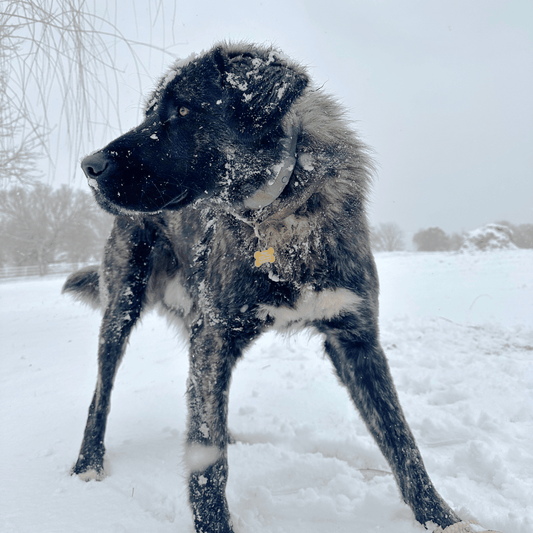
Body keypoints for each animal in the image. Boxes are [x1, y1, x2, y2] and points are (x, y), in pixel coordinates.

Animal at [62, 42, 486, 532]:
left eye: (183, 110)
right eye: (151, 113)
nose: (89, 165)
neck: (282, 213)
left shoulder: (356, 338)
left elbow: (401, 439)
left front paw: (440, 517)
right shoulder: (213, 335)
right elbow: (208, 458)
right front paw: (213, 524)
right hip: (122, 309)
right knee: (101, 396)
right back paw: (88, 463)